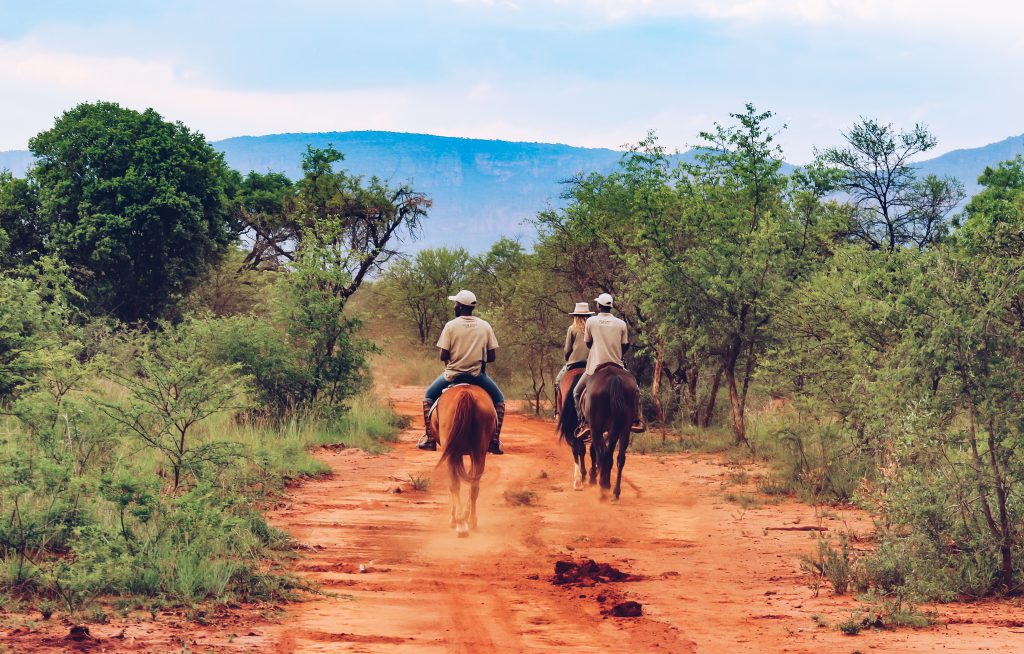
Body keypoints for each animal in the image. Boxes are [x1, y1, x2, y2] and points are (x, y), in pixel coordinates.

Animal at [432, 384, 496, 537]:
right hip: (479, 453)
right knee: (474, 486)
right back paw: (471, 521)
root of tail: (465, 391)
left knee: (455, 484)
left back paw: (460, 524)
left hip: (453, 452)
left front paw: (454, 518)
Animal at [578, 364, 640, 502]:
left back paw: (602, 489)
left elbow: (597, 453)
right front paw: (606, 483)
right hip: (624, 429)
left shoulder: (597, 430)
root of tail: (614, 377)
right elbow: (609, 456)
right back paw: (615, 492)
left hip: (596, 429)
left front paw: (597, 479)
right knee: (619, 458)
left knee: (602, 455)